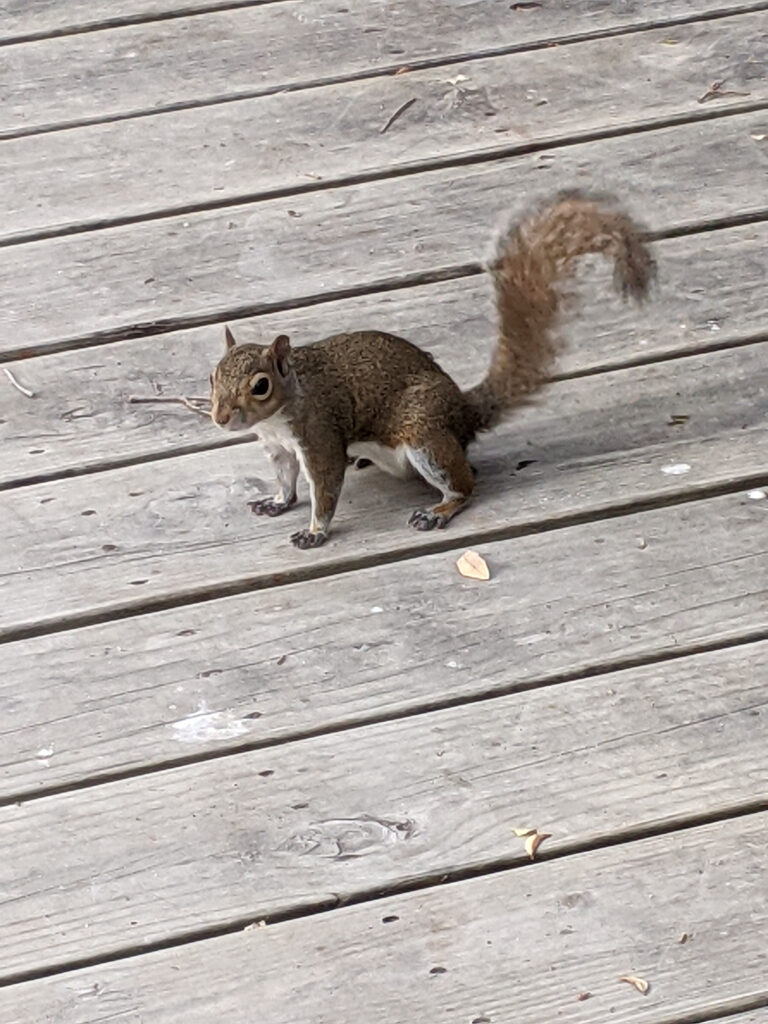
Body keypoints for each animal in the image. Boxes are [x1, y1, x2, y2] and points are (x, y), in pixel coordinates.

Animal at [208, 189, 655, 548]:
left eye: (261, 385)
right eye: (212, 377)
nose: (220, 417)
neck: (280, 414)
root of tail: (463, 412)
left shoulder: (318, 435)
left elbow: (325, 487)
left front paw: (315, 531)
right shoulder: (278, 447)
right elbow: (286, 481)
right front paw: (277, 502)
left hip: (424, 433)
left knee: (465, 483)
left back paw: (439, 509)